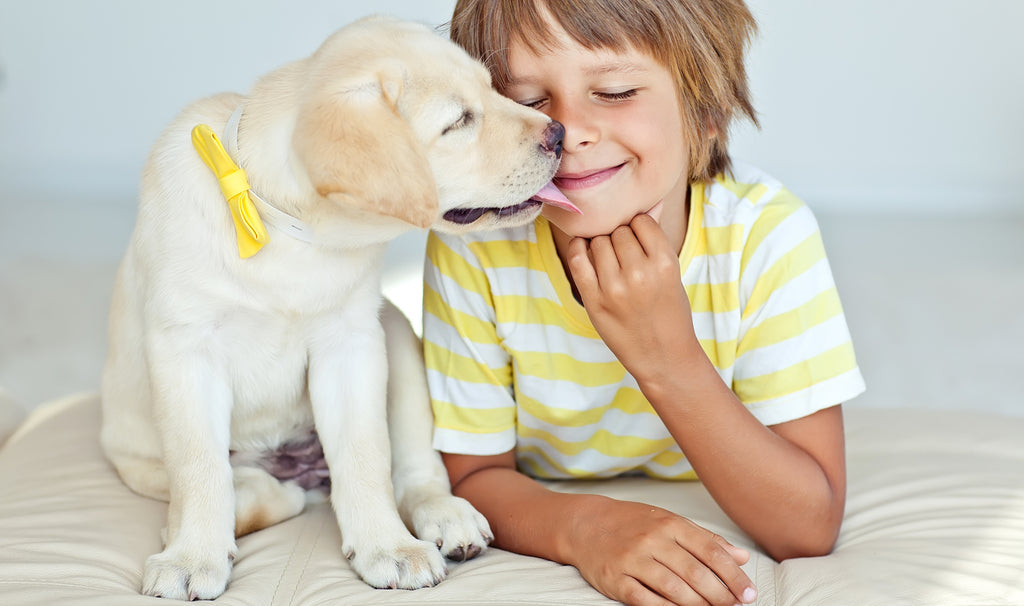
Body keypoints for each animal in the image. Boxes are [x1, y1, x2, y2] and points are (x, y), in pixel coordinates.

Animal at [100, 14, 581, 601]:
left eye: (494, 92)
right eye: (459, 122)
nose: (558, 134)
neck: (283, 227)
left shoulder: (351, 344)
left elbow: (365, 456)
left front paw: (388, 548)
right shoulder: (185, 349)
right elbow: (199, 467)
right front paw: (191, 556)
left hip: (396, 335)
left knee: (414, 470)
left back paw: (445, 514)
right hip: (133, 455)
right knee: (243, 484)